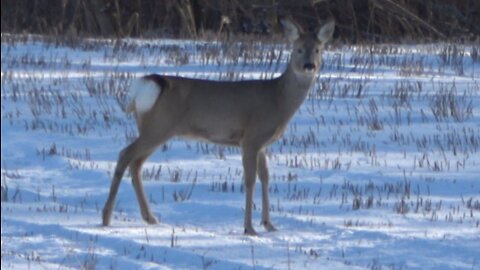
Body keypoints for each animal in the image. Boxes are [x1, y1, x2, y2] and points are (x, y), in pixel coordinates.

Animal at [101, 17, 334, 235]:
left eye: (318, 49)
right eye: (298, 49)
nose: (309, 66)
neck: (278, 99)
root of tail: (146, 86)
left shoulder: (262, 143)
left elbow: (266, 177)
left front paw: (269, 224)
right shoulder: (250, 138)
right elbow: (250, 180)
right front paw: (249, 228)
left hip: (153, 129)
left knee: (136, 164)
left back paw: (149, 217)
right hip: (158, 127)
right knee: (125, 154)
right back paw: (106, 217)